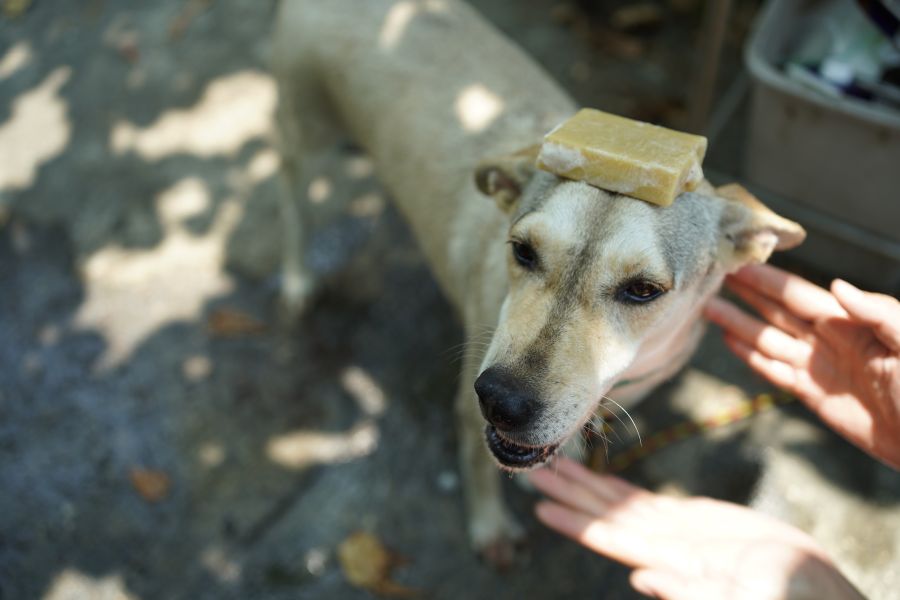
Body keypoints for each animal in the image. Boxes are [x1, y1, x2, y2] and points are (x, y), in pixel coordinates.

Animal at [270, 0, 804, 564]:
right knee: (291, 198)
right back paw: (298, 278)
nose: (501, 402)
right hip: (305, 128)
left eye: (643, 290)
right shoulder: (470, 413)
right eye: (522, 250)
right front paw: (490, 527)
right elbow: (478, 466)